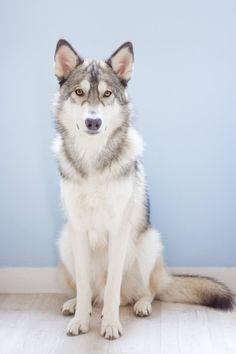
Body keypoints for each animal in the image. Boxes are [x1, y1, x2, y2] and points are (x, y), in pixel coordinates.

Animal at [53, 39, 234, 340]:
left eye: (107, 94)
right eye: (79, 92)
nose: (93, 122)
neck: (93, 159)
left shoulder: (119, 230)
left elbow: (113, 288)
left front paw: (110, 324)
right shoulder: (78, 229)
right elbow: (84, 287)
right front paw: (80, 320)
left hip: (149, 243)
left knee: (146, 291)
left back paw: (141, 305)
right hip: (66, 241)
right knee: (89, 291)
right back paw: (76, 304)